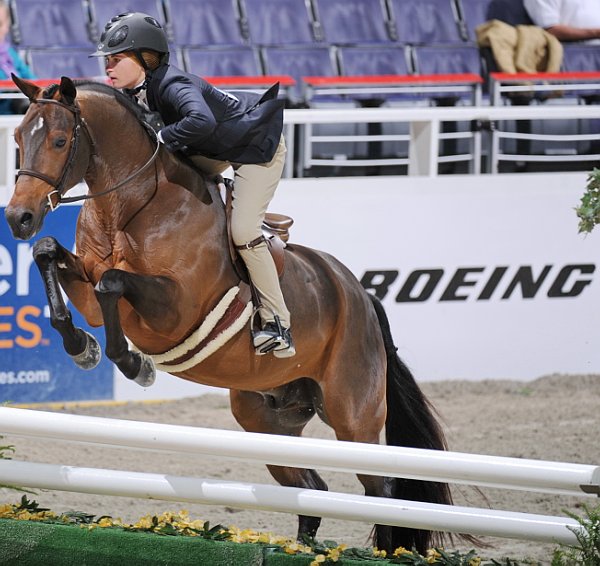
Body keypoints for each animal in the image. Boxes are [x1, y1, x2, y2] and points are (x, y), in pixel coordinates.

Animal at [3, 75, 454, 556]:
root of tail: (362, 295)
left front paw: (134, 364)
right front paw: (81, 346)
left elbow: (112, 281)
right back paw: (300, 548)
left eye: (59, 140)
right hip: (266, 418)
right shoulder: (87, 289)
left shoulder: (175, 308)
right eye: (18, 139)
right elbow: (49, 253)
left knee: (381, 491)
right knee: (312, 489)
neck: (129, 209)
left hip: (353, 415)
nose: (18, 218)